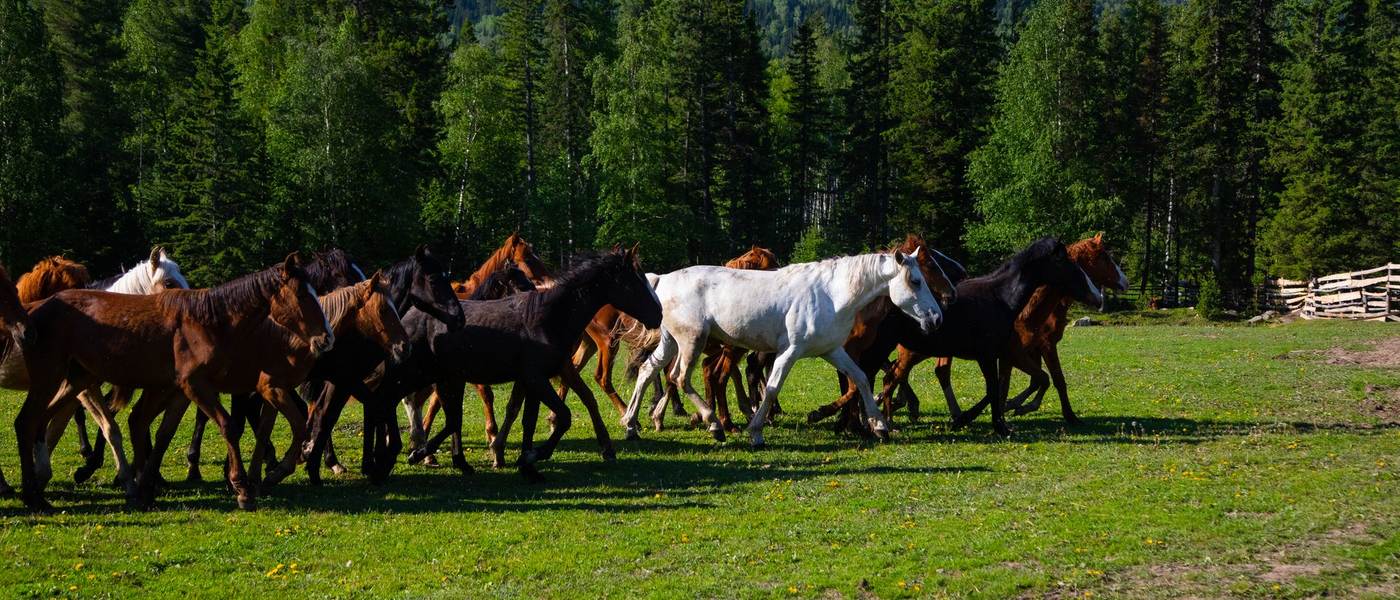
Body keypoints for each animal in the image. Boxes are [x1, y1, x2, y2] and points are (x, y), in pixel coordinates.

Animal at [13, 253, 331, 511]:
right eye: (302, 295)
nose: (326, 338)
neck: (208, 322)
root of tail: (36, 310)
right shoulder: (195, 385)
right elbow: (228, 426)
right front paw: (242, 489)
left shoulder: (179, 389)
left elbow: (160, 431)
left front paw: (146, 487)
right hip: (50, 378)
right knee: (27, 421)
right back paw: (33, 495)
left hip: (75, 381)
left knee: (41, 421)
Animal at [624, 251, 945, 447]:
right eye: (916, 281)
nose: (936, 318)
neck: (831, 295)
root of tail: (663, 279)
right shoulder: (789, 351)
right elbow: (772, 387)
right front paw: (756, 432)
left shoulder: (832, 351)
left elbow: (861, 379)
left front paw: (879, 426)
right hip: (692, 341)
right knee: (679, 377)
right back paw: (714, 425)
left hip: (670, 342)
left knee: (648, 370)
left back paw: (631, 424)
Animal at [810, 238, 1104, 437]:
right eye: (1065, 261)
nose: (1097, 296)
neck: (1001, 298)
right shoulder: (989, 355)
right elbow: (995, 389)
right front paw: (997, 425)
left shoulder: (1001, 354)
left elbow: (1003, 388)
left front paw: (981, 419)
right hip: (881, 347)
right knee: (866, 377)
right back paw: (850, 419)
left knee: (868, 378)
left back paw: (859, 422)